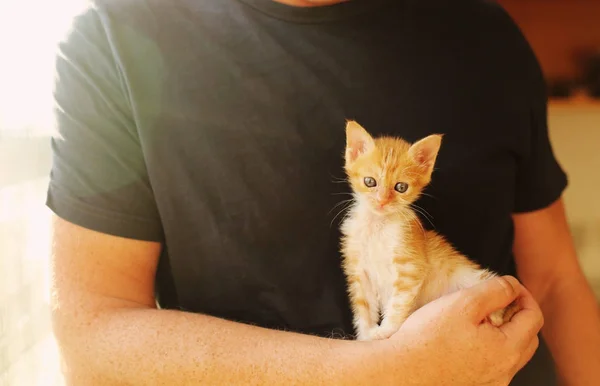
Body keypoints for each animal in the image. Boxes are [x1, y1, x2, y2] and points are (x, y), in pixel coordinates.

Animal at [340, 120, 516, 340]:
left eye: (401, 187)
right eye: (370, 182)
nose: (382, 201)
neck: (379, 224)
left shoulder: (410, 265)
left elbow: (398, 302)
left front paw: (387, 330)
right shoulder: (359, 272)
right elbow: (363, 307)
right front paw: (367, 336)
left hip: (476, 279)